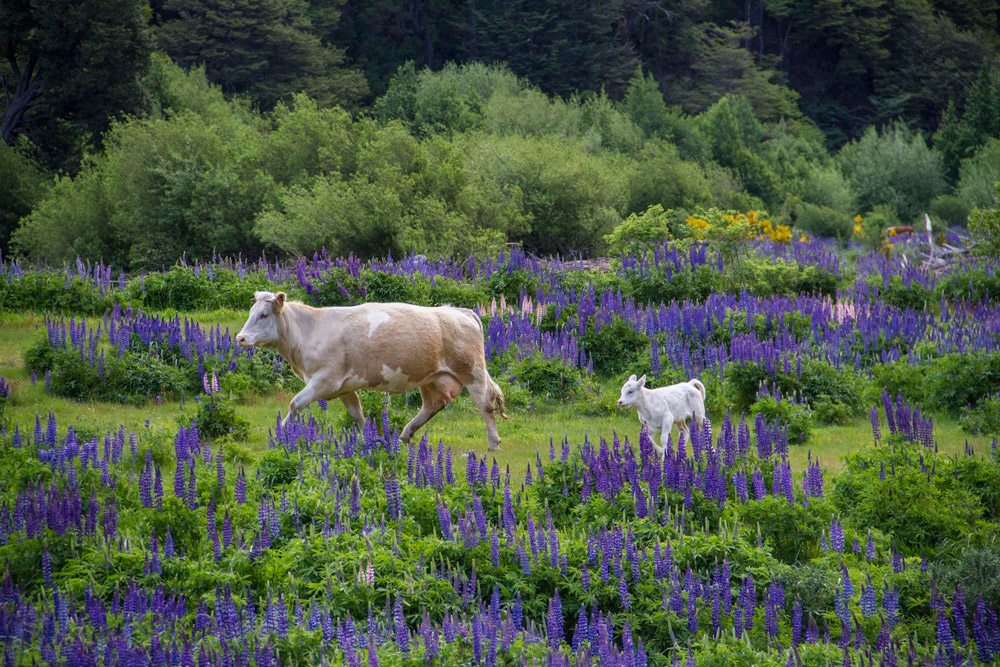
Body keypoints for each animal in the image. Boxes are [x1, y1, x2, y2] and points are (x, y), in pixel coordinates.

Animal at [236, 290, 508, 448]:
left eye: (263, 314)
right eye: (251, 312)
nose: (240, 338)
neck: (309, 330)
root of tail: (460, 311)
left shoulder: (324, 380)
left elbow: (294, 404)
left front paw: (279, 434)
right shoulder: (343, 387)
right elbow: (357, 414)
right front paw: (369, 439)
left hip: (472, 372)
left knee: (485, 405)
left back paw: (493, 443)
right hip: (432, 378)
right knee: (432, 405)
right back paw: (404, 435)